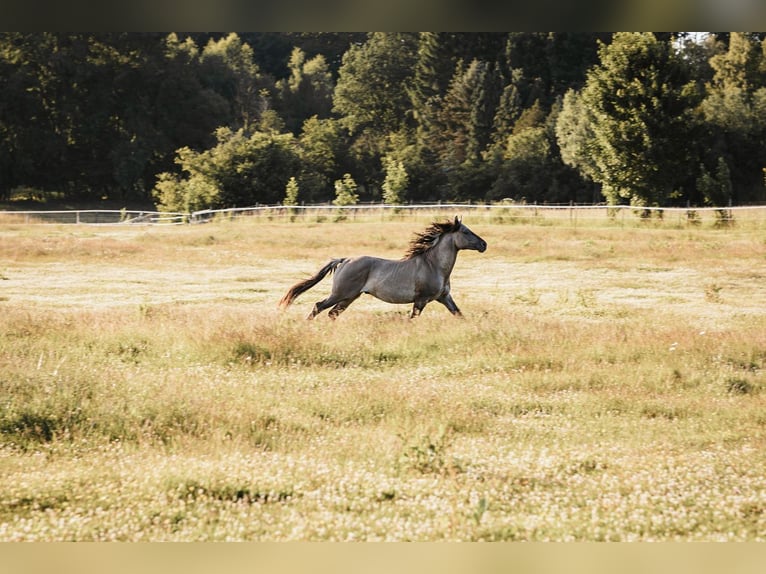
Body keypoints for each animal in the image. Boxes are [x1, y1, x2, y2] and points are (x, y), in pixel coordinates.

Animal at [278, 216, 487, 319]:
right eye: (466, 232)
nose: (484, 244)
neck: (434, 266)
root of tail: (344, 260)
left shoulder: (444, 297)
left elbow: (459, 314)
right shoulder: (421, 300)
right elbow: (412, 319)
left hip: (350, 297)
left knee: (332, 313)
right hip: (340, 293)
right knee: (319, 306)